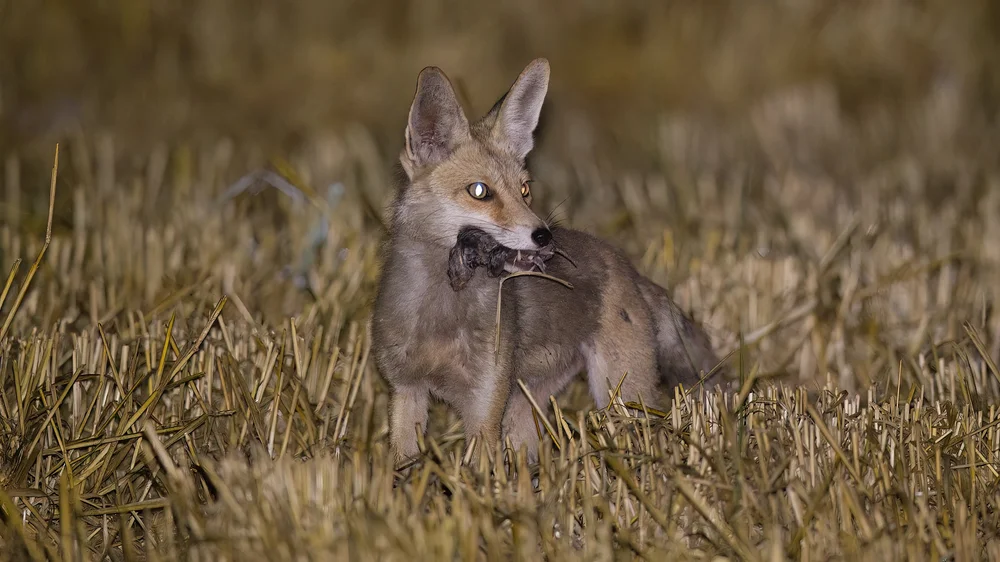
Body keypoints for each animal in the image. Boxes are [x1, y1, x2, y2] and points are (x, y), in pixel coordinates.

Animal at [371, 58, 724, 463]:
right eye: (480, 191)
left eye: (525, 190)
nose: (544, 236)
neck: (441, 315)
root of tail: (630, 269)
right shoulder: (406, 390)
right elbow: (403, 464)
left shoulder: (485, 405)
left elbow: (479, 469)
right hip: (527, 403)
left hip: (620, 396)